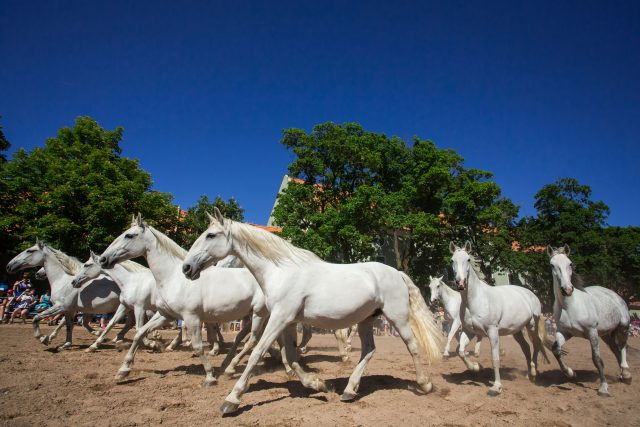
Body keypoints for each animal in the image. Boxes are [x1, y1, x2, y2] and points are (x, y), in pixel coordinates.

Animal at [99, 216, 274, 386]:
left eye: (129, 235)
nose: (103, 259)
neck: (173, 277)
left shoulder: (191, 317)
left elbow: (198, 346)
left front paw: (210, 376)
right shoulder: (165, 315)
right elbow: (139, 333)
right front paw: (123, 370)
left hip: (259, 314)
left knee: (253, 340)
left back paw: (232, 367)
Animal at [179, 209, 440, 416]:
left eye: (211, 235)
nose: (187, 268)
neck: (281, 272)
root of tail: (397, 273)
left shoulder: (279, 318)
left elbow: (256, 353)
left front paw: (231, 401)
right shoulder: (286, 322)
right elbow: (292, 357)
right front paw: (318, 385)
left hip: (398, 318)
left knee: (412, 346)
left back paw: (425, 385)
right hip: (366, 320)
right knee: (368, 350)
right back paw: (349, 390)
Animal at [448, 242, 548, 396]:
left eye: (468, 260)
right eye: (452, 260)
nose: (461, 283)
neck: (476, 300)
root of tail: (530, 294)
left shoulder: (492, 332)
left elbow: (495, 358)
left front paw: (496, 387)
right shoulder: (469, 331)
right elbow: (460, 351)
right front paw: (476, 367)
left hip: (531, 325)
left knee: (536, 344)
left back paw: (533, 373)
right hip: (517, 330)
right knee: (526, 347)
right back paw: (527, 375)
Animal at [548, 246, 632, 396]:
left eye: (570, 264)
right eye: (552, 265)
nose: (567, 290)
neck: (570, 306)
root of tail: (615, 295)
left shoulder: (592, 332)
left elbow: (597, 359)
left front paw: (603, 388)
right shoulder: (564, 332)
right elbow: (556, 350)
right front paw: (571, 373)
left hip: (623, 327)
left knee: (623, 347)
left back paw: (627, 374)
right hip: (605, 334)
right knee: (616, 349)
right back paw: (622, 375)